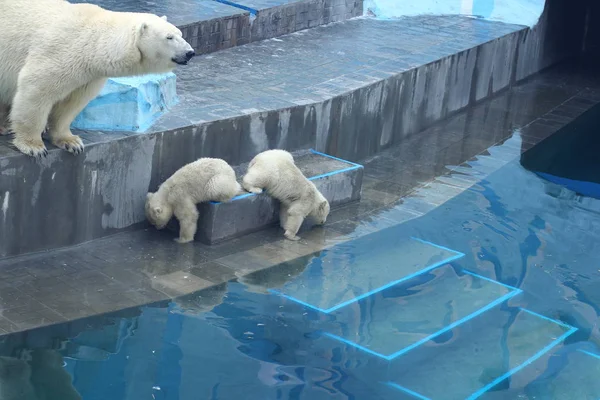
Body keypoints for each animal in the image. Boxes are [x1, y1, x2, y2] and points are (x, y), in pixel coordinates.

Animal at [0, 0, 195, 158]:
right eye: (169, 37)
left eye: (180, 34)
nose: (190, 52)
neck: (95, 41)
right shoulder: (60, 52)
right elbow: (36, 91)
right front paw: (34, 146)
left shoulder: (90, 75)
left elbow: (72, 103)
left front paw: (72, 142)